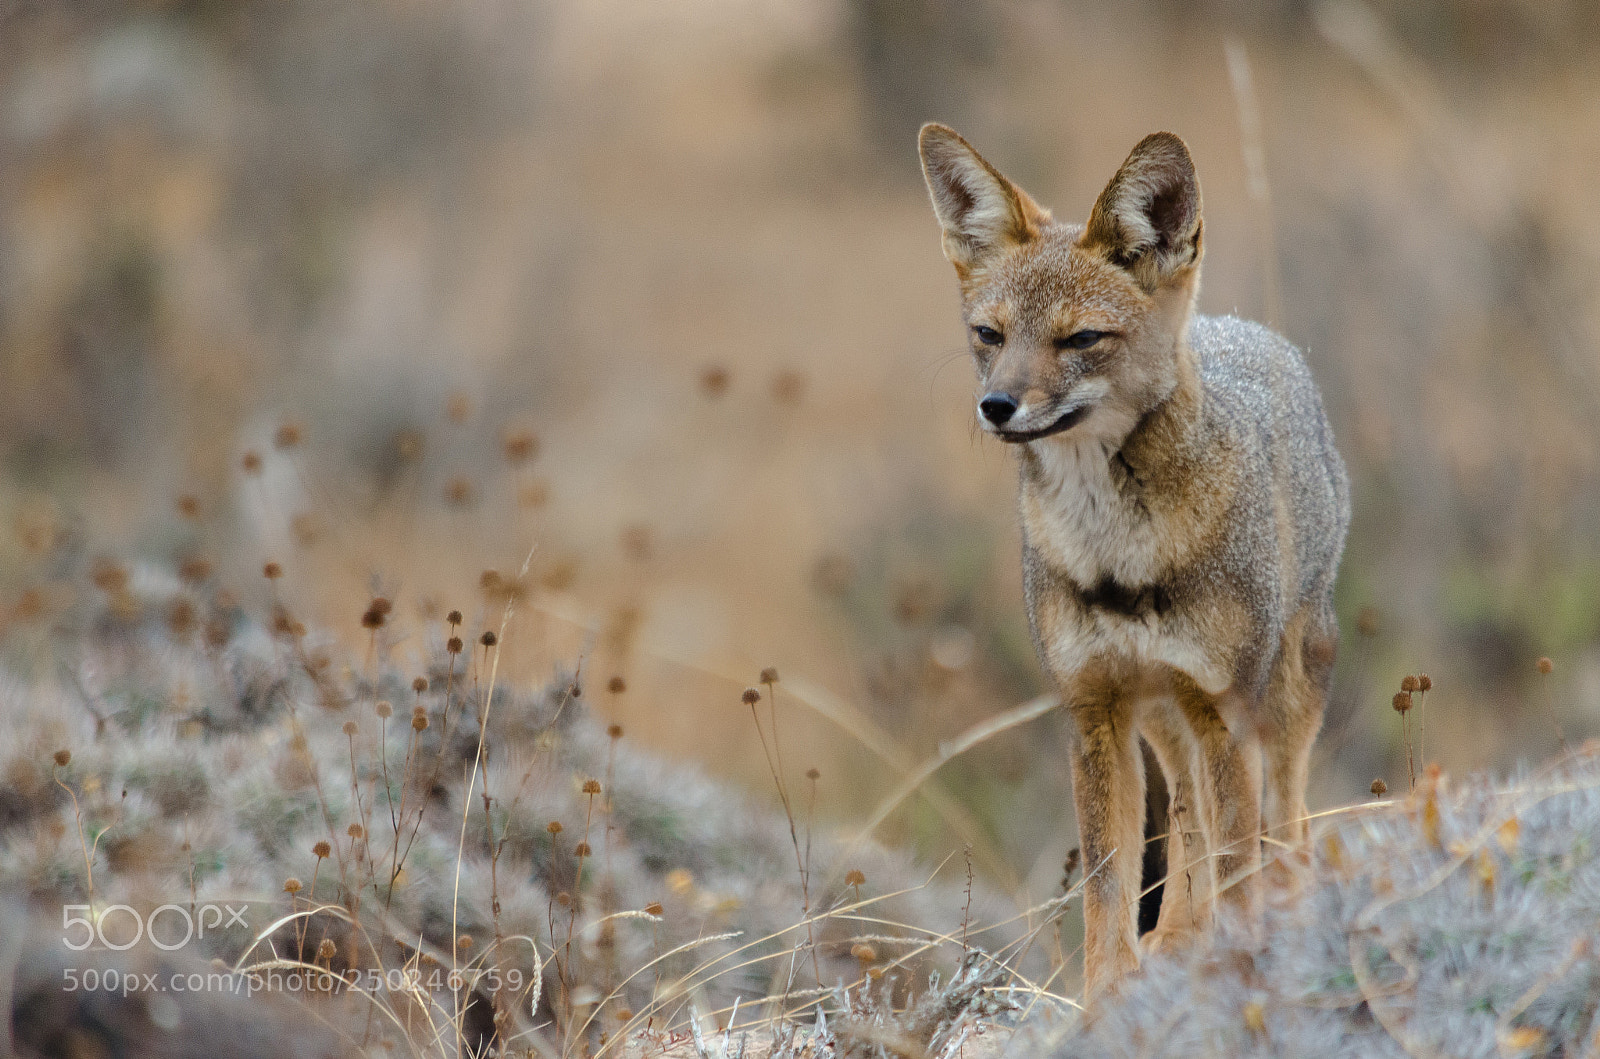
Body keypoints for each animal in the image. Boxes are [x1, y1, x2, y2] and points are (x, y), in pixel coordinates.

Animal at [918, 124, 1350, 997]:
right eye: (990, 335)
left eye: (1081, 338)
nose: (996, 407)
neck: (1115, 553)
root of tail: (1244, 327)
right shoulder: (1094, 711)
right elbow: (1109, 886)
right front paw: (1104, 996)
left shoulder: (1225, 709)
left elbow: (1236, 860)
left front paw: (1240, 966)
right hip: (1161, 713)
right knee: (1184, 814)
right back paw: (1179, 931)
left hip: (1283, 690)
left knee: (1282, 817)